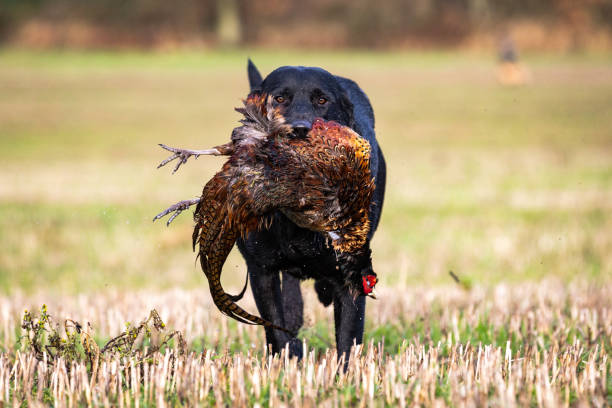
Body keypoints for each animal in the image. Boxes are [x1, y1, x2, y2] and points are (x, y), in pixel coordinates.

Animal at [237, 60, 384, 360]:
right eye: (279, 98)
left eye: (322, 100)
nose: (299, 129)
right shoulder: (261, 270)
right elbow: (276, 328)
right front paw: (288, 359)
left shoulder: (353, 276)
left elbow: (347, 342)